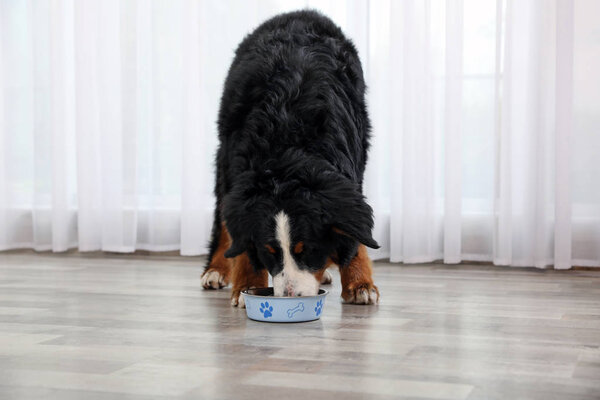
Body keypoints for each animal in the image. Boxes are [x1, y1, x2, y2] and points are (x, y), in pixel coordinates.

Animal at [202, 10, 380, 308]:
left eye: (307, 249)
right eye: (270, 251)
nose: (289, 297)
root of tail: (300, 13)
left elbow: (354, 233)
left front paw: (359, 282)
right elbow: (243, 242)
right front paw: (248, 286)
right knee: (223, 223)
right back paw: (215, 269)